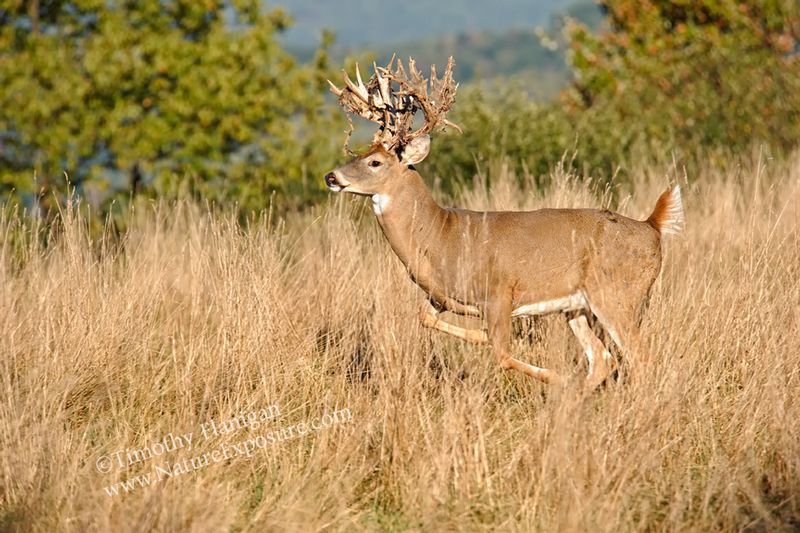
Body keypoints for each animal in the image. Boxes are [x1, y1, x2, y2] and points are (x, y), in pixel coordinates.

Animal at [323, 57, 684, 389]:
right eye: (358, 153)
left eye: (375, 162)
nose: (331, 176)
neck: (440, 235)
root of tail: (652, 226)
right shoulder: (440, 297)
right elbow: (424, 317)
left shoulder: (499, 292)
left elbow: (500, 353)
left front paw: (552, 374)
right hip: (578, 306)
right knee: (603, 359)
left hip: (617, 292)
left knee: (640, 357)